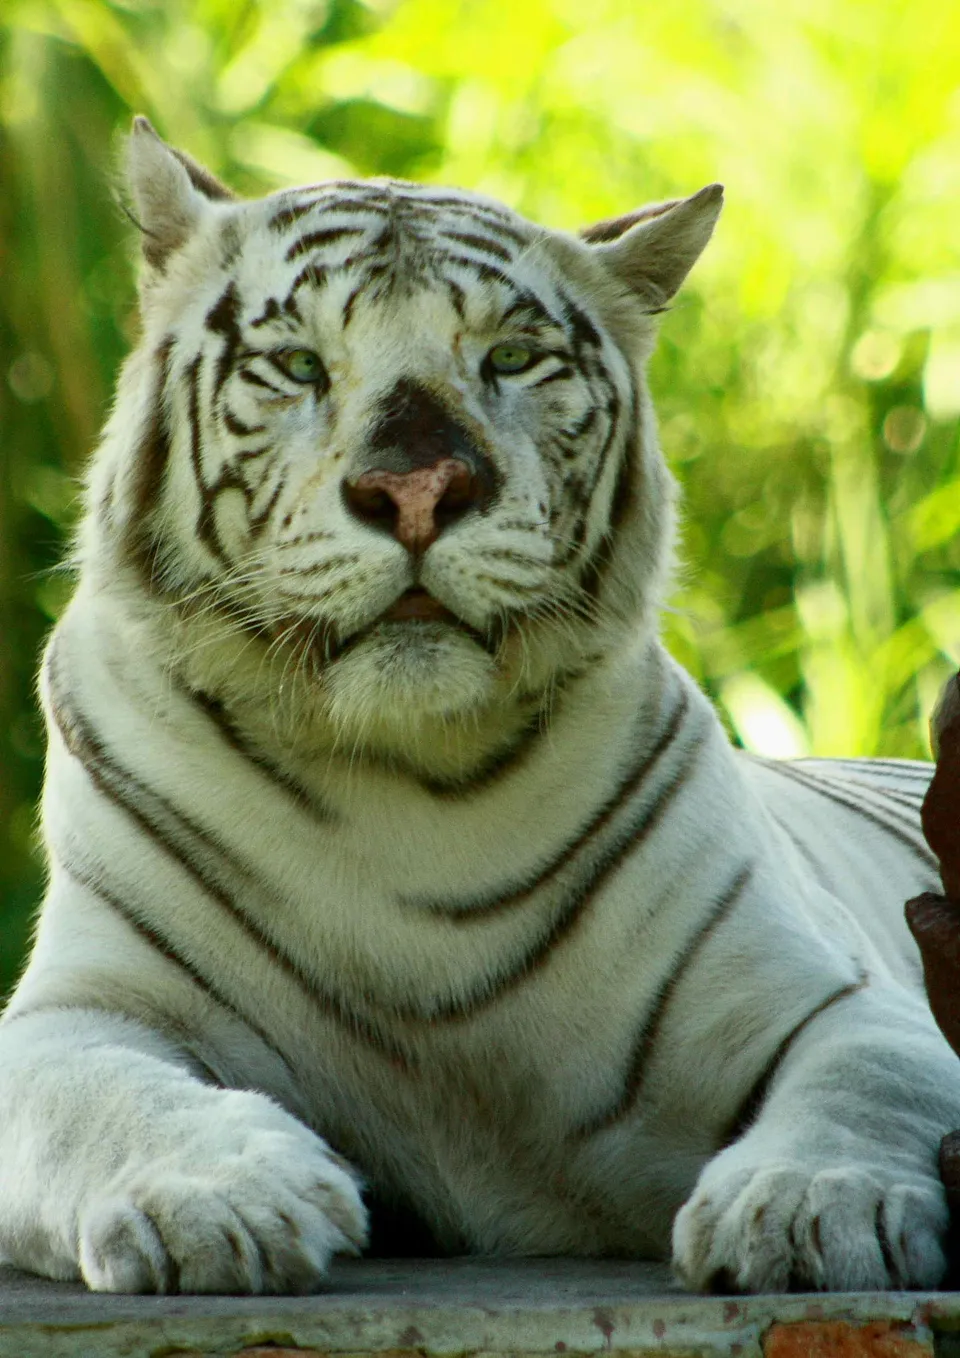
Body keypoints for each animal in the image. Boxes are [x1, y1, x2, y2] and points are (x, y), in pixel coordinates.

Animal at [0, 113, 957, 1297]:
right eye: (299, 364)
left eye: (509, 357)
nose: (418, 489)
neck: (405, 783)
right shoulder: (81, 1008)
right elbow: (103, 1097)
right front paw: (221, 1201)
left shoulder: (839, 991)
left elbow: (870, 1077)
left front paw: (816, 1205)